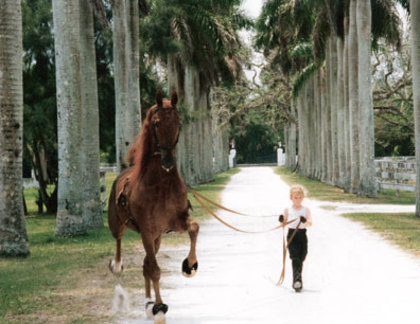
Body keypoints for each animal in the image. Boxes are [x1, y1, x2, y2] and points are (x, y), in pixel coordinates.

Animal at [108, 90, 200, 320]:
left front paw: (190, 265)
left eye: (179, 122)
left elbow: (194, 228)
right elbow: (156, 270)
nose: (167, 161)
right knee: (120, 242)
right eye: (157, 123)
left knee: (146, 265)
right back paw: (118, 266)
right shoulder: (147, 231)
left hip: (157, 238)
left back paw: (148, 300)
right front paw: (159, 306)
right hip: (121, 226)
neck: (161, 184)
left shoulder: (176, 222)